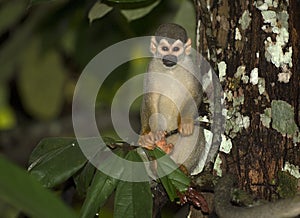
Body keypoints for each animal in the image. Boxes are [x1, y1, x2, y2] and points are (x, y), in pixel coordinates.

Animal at [138, 23, 204, 174]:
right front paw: (146, 136)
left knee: (196, 129)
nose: (169, 57)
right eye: (164, 49)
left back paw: (183, 167)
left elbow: (196, 93)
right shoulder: (151, 67)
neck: (171, 70)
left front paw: (185, 122)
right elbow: (149, 98)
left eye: (175, 49)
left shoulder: (191, 66)